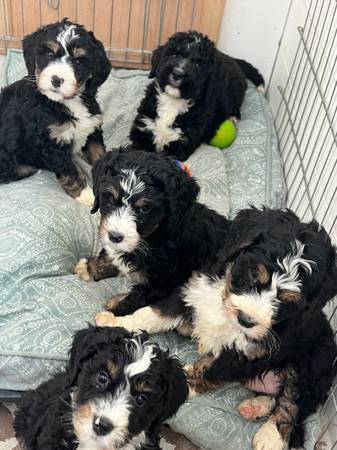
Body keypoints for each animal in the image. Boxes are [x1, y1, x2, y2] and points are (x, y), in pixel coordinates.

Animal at [0, 19, 111, 205]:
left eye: (78, 61)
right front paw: (86, 195)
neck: (66, 102)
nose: (57, 79)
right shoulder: (52, 144)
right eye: (50, 55)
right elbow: (71, 172)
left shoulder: (92, 129)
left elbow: (99, 155)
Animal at [75, 148, 230, 330]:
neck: (155, 235)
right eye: (111, 198)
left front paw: (112, 307)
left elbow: (135, 297)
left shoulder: (163, 284)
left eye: (145, 208)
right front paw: (89, 268)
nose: (114, 236)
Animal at [94, 207, 336, 450]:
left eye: (287, 300)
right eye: (253, 273)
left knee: (294, 401)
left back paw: (270, 436)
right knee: (275, 396)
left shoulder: (248, 351)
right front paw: (116, 323)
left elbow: (211, 369)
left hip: (314, 363)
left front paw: (185, 383)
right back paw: (255, 407)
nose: (246, 320)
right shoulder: (194, 290)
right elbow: (154, 313)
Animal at [130, 30, 264, 160]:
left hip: (237, 91)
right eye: (174, 55)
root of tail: (232, 59)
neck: (173, 101)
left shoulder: (183, 142)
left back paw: (233, 116)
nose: (177, 73)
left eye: (198, 65)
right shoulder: (144, 126)